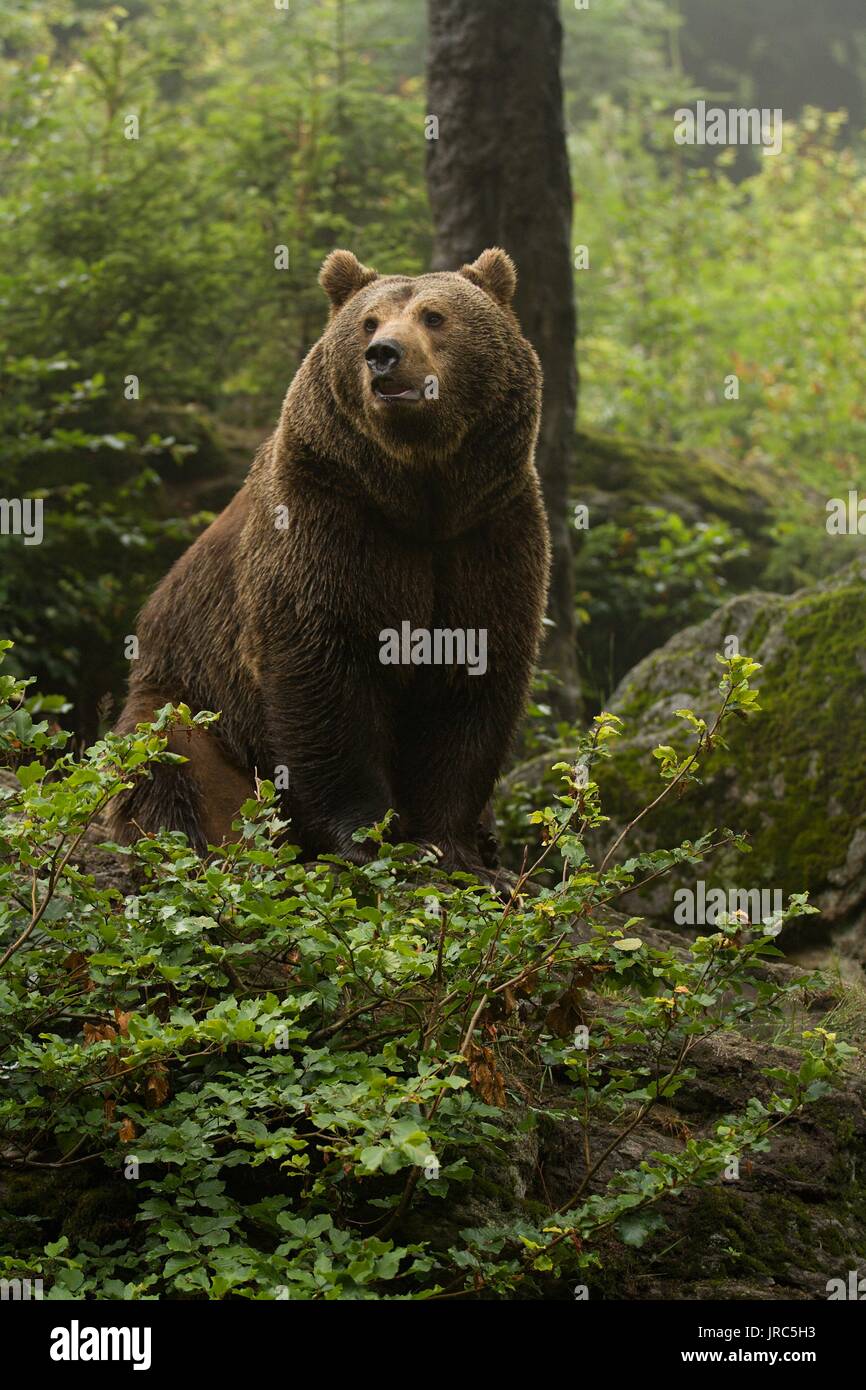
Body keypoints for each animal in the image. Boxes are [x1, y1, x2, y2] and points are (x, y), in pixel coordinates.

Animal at [108, 248, 553, 872]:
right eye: (368, 322)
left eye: (434, 315)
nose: (383, 355)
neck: (421, 495)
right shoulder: (329, 515)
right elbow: (324, 673)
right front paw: (368, 835)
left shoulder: (488, 530)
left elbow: (471, 677)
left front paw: (453, 845)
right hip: (192, 698)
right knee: (171, 759)